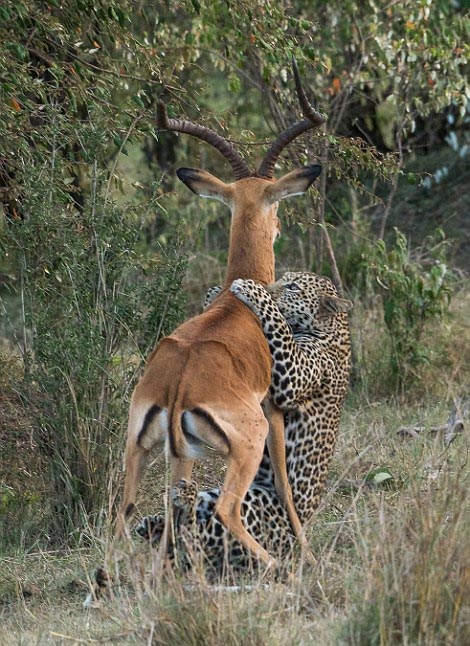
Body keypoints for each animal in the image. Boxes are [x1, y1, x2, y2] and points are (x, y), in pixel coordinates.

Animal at [134, 270, 350, 580]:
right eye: (285, 278)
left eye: (293, 286)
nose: (270, 287)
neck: (334, 328)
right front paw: (216, 292)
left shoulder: (292, 374)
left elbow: (278, 323)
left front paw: (250, 289)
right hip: (217, 495)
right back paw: (156, 520)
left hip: (255, 505)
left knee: (205, 528)